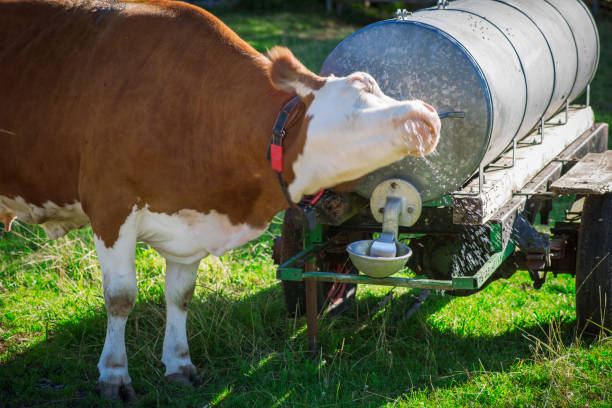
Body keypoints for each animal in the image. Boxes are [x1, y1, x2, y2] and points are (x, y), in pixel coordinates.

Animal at [0, 0, 440, 400]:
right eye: (358, 93)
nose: (429, 114)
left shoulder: (192, 220)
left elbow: (180, 295)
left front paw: (179, 365)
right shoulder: (111, 206)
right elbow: (121, 297)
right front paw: (114, 375)